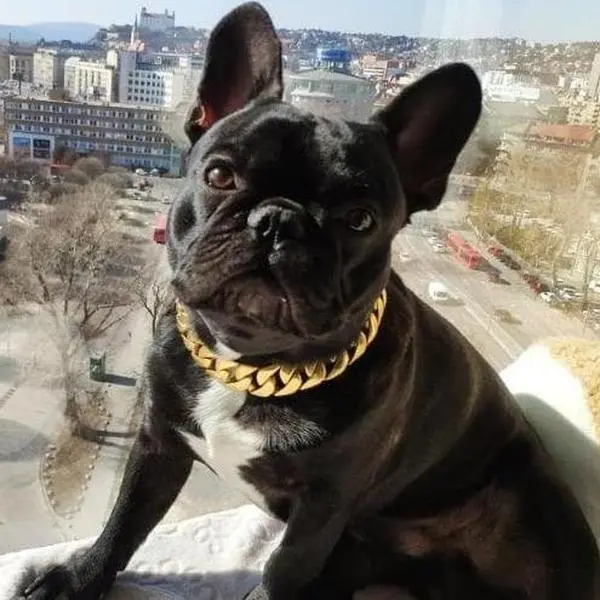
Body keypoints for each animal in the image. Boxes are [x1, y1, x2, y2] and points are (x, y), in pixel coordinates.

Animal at [18, 3, 599, 599]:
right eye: (219, 174)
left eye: (359, 219)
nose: (278, 220)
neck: (249, 366)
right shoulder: (158, 445)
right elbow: (126, 520)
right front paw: (79, 578)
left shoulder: (321, 508)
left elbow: (282, 568)